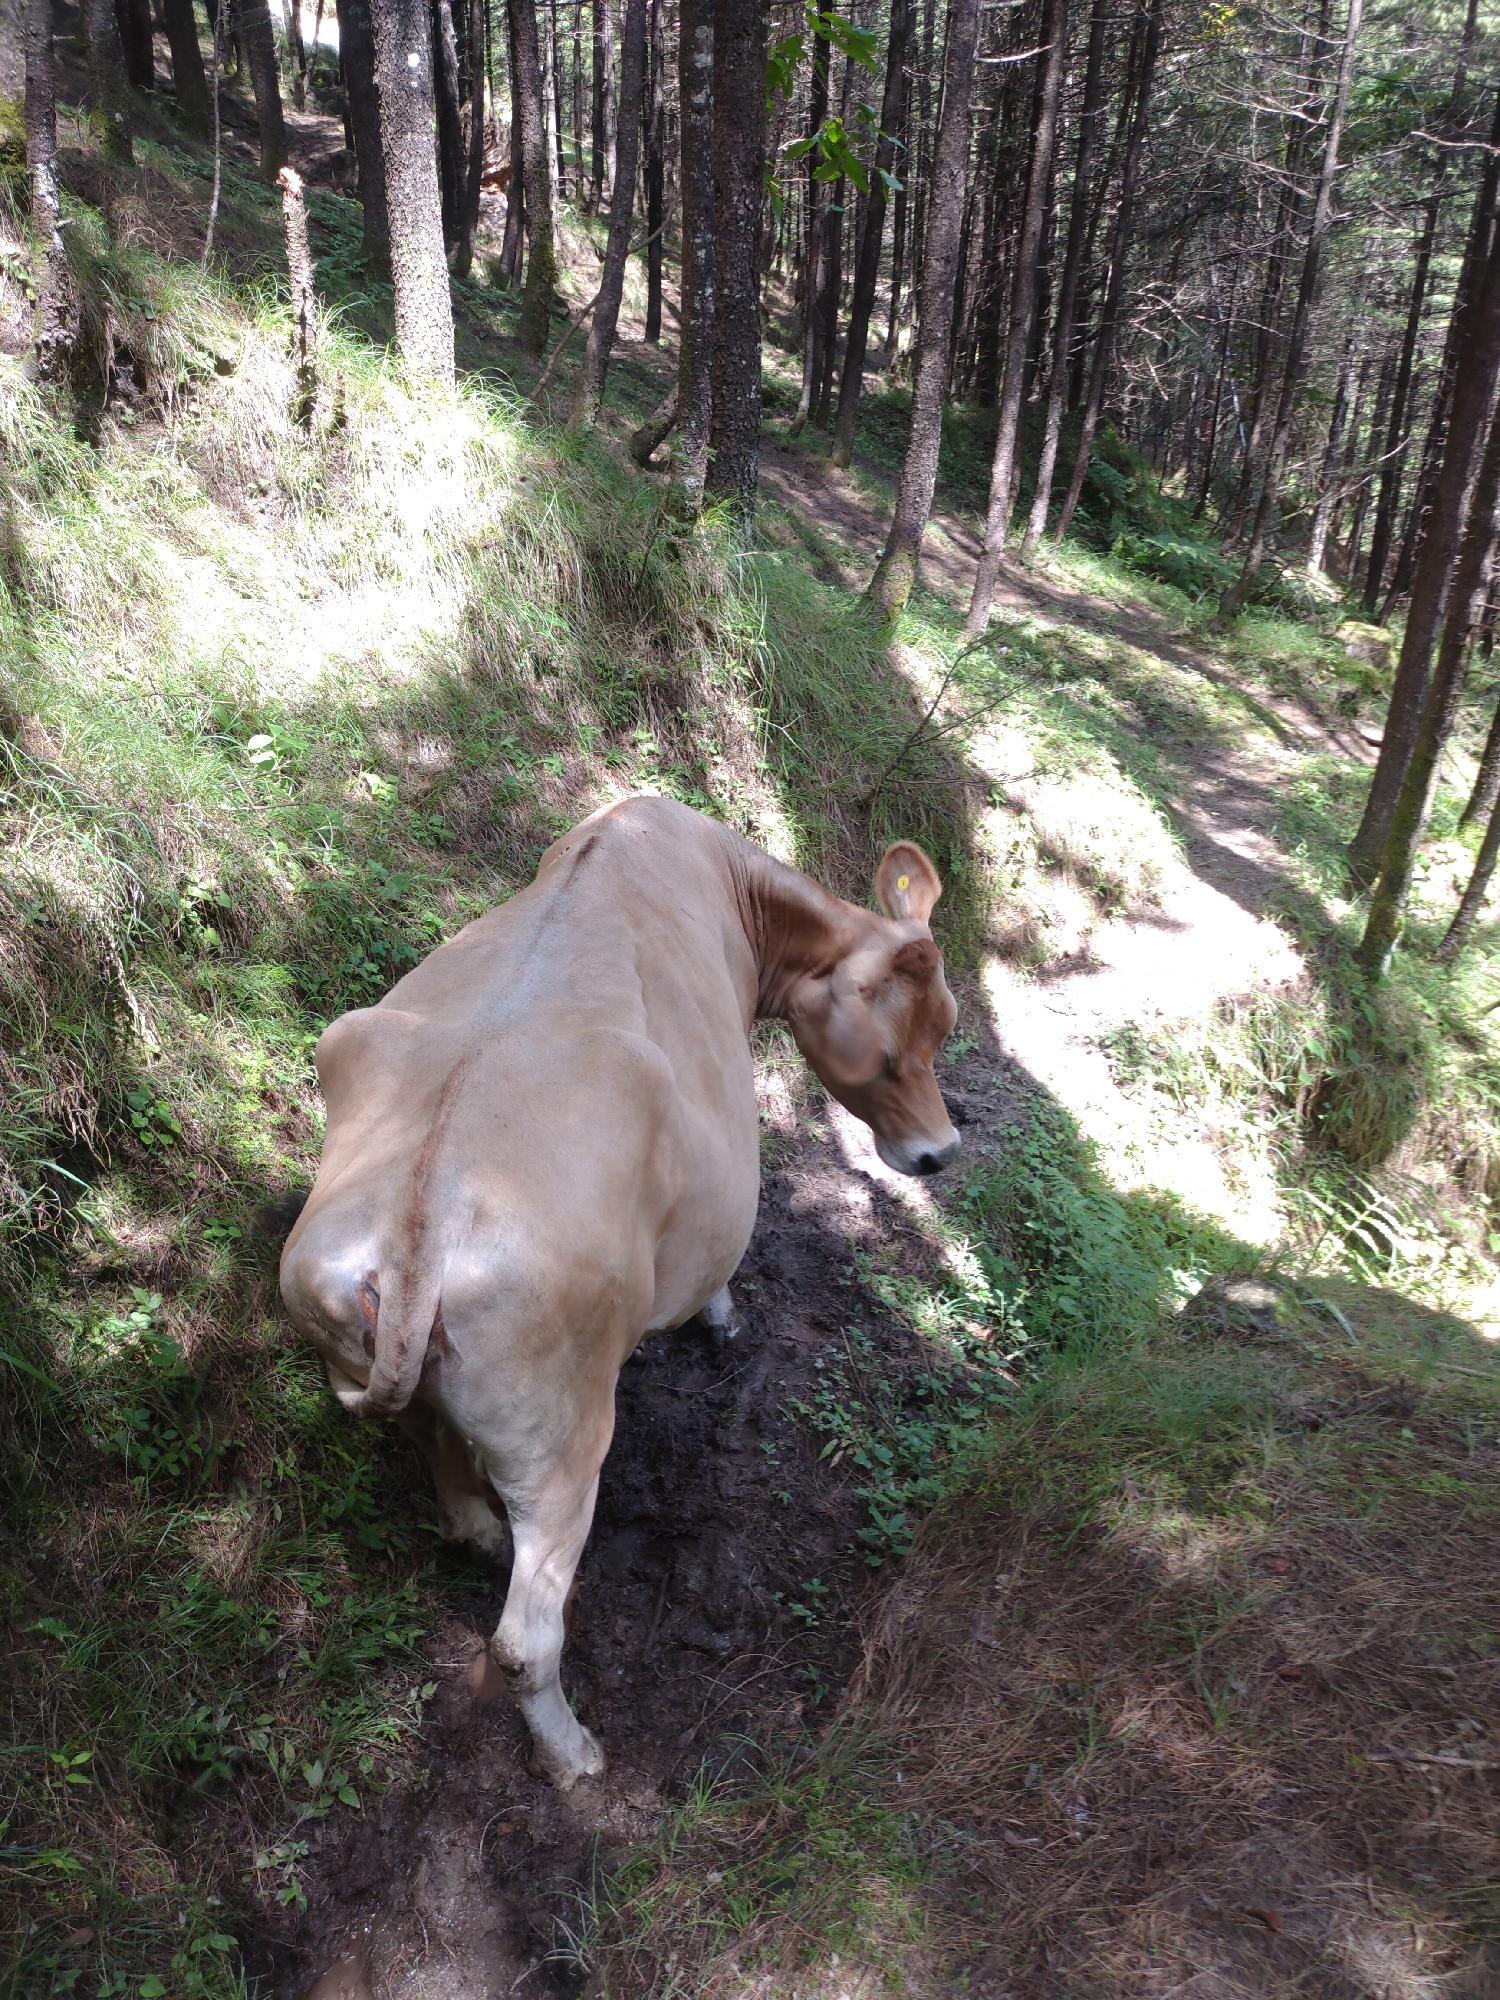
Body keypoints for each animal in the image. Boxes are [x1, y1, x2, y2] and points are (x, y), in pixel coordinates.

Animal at [279, 796, 960, 1787]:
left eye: (946, 1025)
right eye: (894, 1048)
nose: (941, 1152)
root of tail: (422, 1217)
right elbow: (720, 1266)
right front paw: (722, 1317)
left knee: (433, 1441)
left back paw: (473, 1524)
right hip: (561, 1442)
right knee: (524, 1641)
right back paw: (572, 1757)